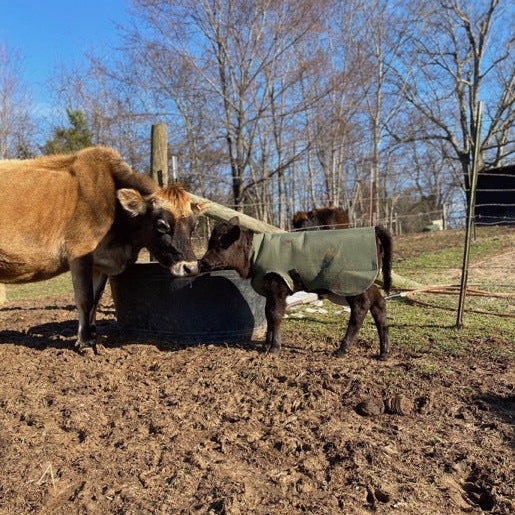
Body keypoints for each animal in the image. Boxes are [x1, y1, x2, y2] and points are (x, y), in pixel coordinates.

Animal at [0, 147, 206, 352]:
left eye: (194, 226)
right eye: (162, 225)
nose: (191, 267)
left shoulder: (100, 263)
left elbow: (96, 299)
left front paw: (93, 334)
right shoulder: (79, 253)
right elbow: (85, 299)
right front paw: (85, 342)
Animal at [200, 217, 394, 358]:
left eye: (222, 243)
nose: (203, 261)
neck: (254, 254)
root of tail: (373, 229)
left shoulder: (278, 285)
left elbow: (275, 314)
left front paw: (274, 348)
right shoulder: (270, 292)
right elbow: (267, 314)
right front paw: (266, 343)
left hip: (352, 283)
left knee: (360, 309)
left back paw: (341, 350)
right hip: (367, 283)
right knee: (379, 304)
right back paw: (383, 352)